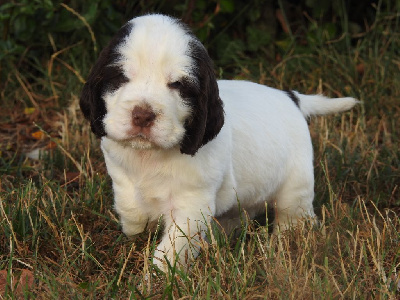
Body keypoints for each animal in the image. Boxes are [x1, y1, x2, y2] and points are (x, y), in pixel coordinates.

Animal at [79, 13, 358, 270]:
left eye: (177, 85)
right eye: (121, 78)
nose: (142, 115)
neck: (150, 155)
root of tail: (291, 97)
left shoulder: (191, 205)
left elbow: (171, 250)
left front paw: (155, 279)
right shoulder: (121, 175)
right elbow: (131, 211)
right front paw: (136, 233)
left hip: (295, 187)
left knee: (295, 217)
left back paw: (284, 243)